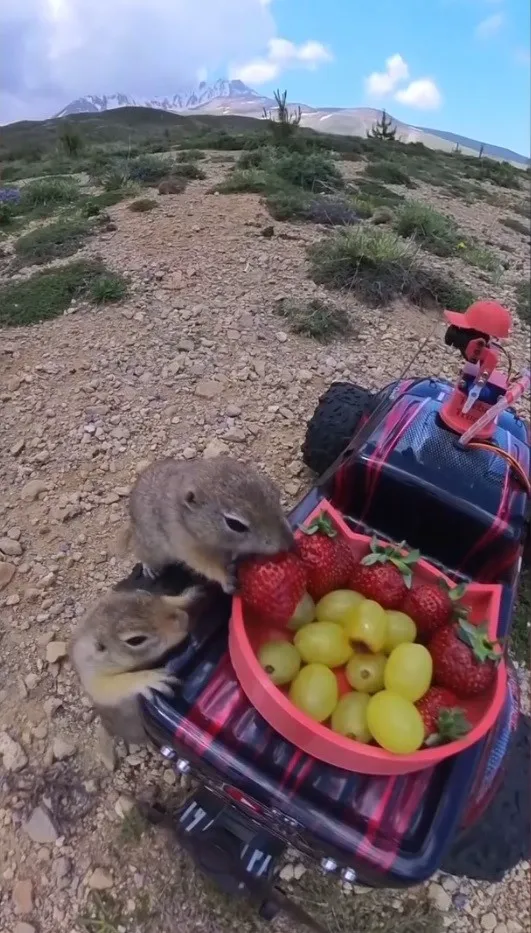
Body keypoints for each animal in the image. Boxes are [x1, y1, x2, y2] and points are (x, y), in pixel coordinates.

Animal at [68, 588, 197, 764]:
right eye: (135, 640)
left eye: (144, 593)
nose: (184, 619)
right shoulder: (94, 676)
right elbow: (113, 686)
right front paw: (150, 679)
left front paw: (186, 596)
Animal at [121, 456, 296, 588]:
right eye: (235, 524)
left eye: (274, 491)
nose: (289, 542)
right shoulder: (188, 548)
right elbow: (207, 566)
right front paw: (227, 579)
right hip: (148, 546)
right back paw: (150, 569)